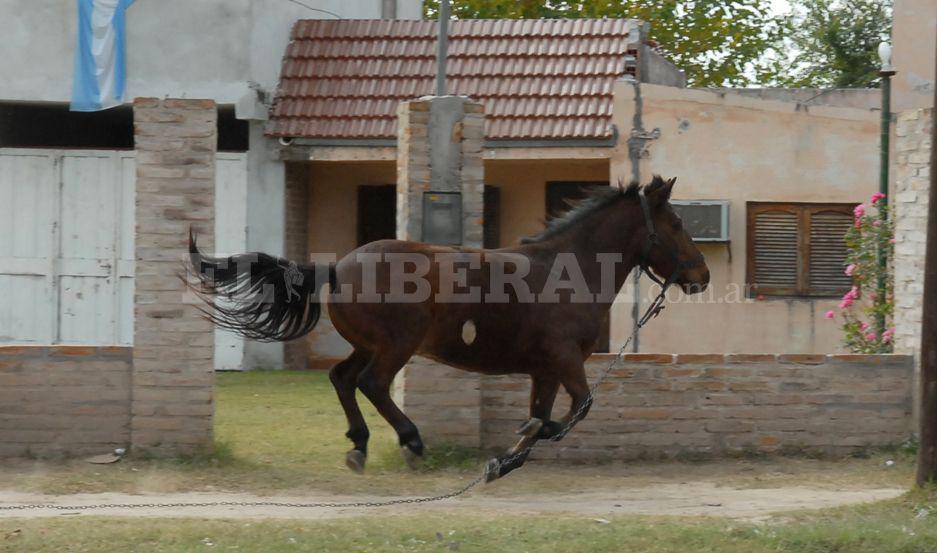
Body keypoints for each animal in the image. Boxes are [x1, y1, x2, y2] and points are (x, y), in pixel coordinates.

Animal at [187, 176, 710, 480]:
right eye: (677, 222)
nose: (701, 275)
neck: (570, 270)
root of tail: (336, 268)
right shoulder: (564, 360)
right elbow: (577, 408)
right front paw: (518, 444)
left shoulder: (544, 369)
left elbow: (542, 416)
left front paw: (505, 460)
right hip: (397, 344)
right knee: (372, 383)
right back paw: (411, 441)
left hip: (369, 344)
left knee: (342, 378)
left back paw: (359, 445)